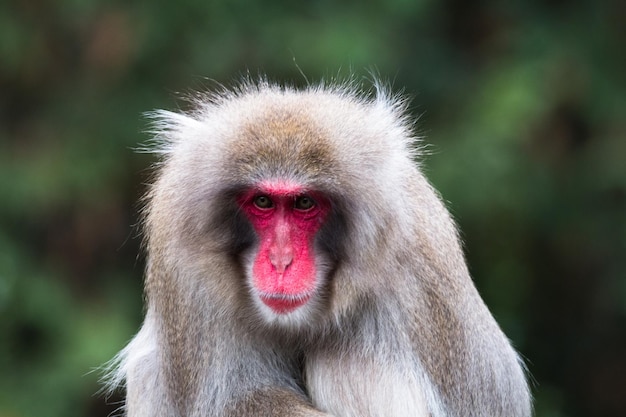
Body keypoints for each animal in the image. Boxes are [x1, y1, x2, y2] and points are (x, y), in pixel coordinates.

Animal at [103, 79, 532, 416]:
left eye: (304, 203)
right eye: (263, 202)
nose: (281, 262)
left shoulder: (416, 258)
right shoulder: (179, 250)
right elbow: (236, 399)